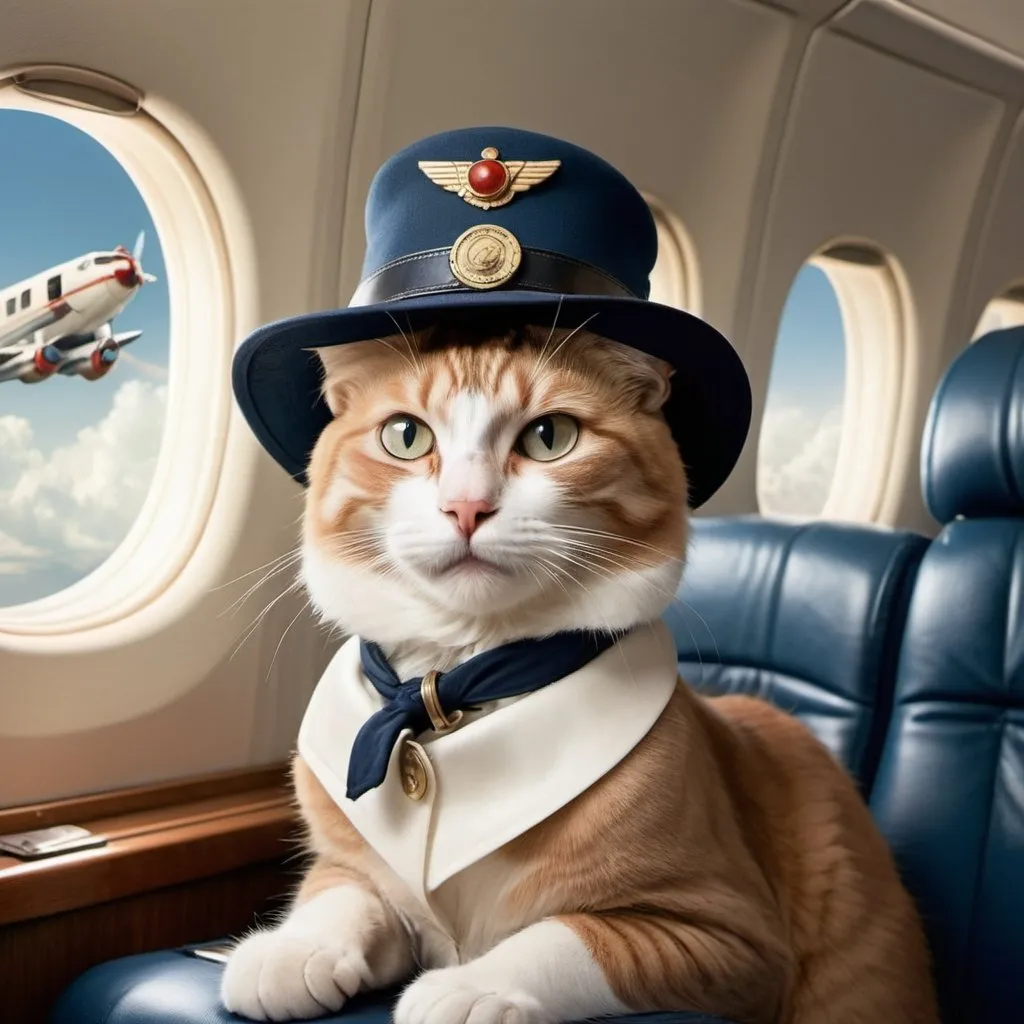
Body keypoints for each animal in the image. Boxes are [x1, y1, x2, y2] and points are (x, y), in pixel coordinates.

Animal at [220, 323, 937, 1024]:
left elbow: (572, 937)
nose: (465, 507)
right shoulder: (347, 865)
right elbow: (343, 892)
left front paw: (473, 987)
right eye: (406, 435)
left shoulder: (727, 935)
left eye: (549, 437)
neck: (453, 688)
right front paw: (295, 948)